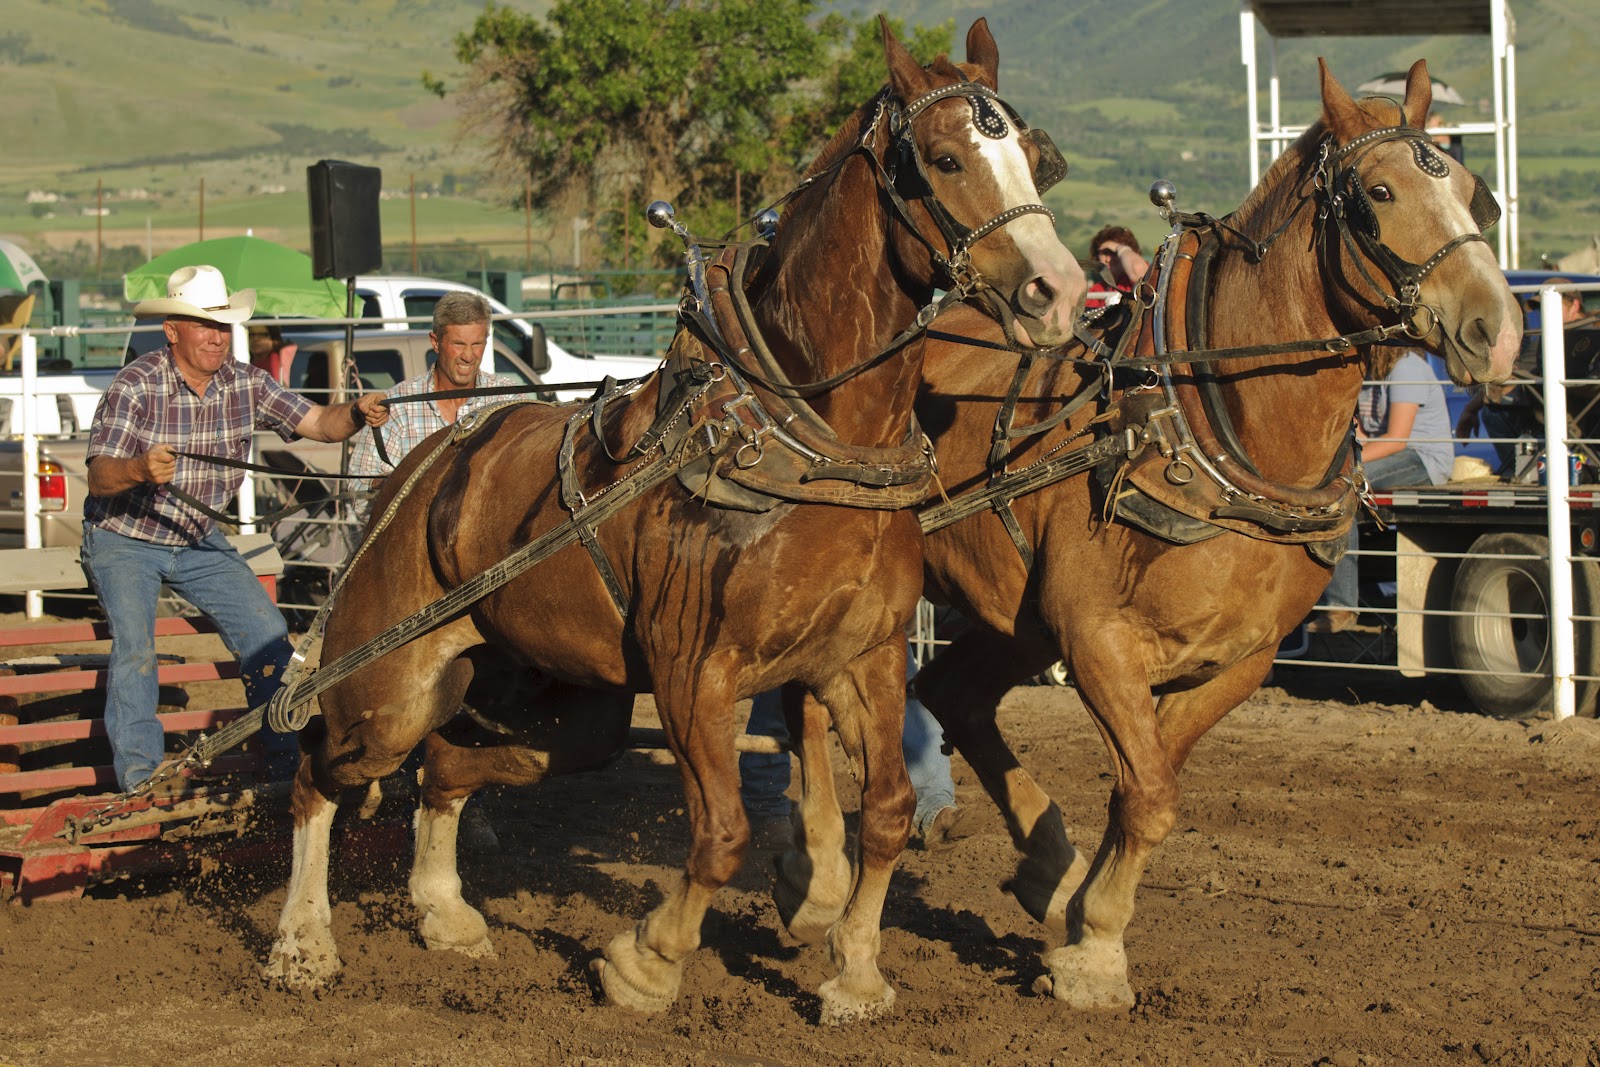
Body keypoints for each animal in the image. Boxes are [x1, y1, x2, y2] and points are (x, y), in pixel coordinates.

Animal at [263, 17, 1084, 1025]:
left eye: (1036, 161)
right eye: (944, 157)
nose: (1059, 291)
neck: (801, 436)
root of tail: (413, 473)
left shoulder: (865, 654)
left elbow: (888, 813)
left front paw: (854, 971)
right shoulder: (696, 668)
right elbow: (723, 831)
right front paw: (647, 961)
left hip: (560, 707)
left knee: (446, 769)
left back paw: (446, 912)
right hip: (390, 688)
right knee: (321, 769)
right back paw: (303, 942)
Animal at [897, 59, 1521, 1008]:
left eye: (1475, 193)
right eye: (1378, 193)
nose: (1499, 329)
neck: (1211, 426)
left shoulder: (1240, 658)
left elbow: (1146, 788)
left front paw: (1086, 919)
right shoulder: (1098, 638)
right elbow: (1149, 788)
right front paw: (1093, 952)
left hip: (1013, 616)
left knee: (953, 689)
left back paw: (1047, 865)